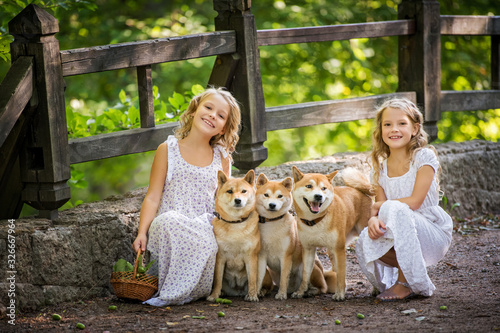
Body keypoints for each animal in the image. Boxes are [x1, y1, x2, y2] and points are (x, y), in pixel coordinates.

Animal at [206, 170, 272, 302]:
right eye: (230, 191)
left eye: (244, 191)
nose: (238, 200)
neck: (235, 223)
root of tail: (237, 292)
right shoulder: (220, 257)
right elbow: (217, 280)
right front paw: (214, 295)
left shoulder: (251, 257)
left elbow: (252, 279)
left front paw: (252, 296)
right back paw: (222, 293)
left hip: (265, 273)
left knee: (268, 287)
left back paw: (261, 292)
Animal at [290, 166, 372, 300]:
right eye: (309, 186)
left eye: (323, 188)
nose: (318, 196)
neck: (316, 222)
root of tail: (361, 192)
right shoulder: (308, 249)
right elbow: (306, 275)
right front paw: (301, 292)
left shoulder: (339, 250)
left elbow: (341, 275)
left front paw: (340, 294)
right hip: (331, 251)